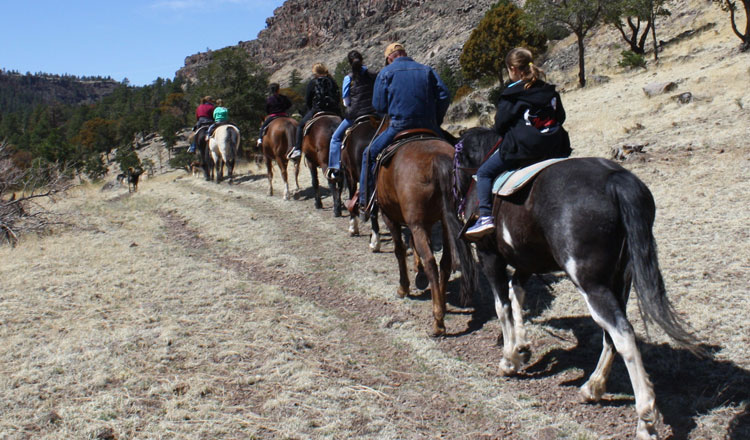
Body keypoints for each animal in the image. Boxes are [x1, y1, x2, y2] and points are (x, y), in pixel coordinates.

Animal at [374, 132, 476, 336]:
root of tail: (437, 159)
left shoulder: (390, 216)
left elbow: (400, 250)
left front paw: (404, 287)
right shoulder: (427, 222)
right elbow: (413, 245)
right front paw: (418, 274)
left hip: (416, 223)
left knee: (430, 261)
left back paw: (438, 321)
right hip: (445, 220)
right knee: (445, 261)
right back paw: (442, 305)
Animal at [456, 127, 708, 440]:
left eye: (457, 156)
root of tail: (615, 179)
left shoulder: (489, 256)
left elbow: (502, 305)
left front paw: (509, 359)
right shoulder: (527, 263)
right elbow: (517, 295)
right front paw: (522, 347)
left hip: (591, 284)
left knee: (622, 333)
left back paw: (645, 419)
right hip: (619, 279)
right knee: (613, 332)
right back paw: (593, 387)